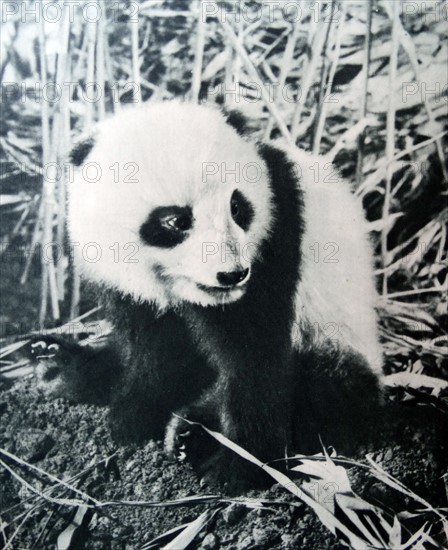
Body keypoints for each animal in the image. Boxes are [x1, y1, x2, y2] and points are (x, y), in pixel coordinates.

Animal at [62, 103, 382, 492]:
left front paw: (240, 466)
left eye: (237, 205)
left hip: (335, 339)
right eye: (176, 220)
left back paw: (195, 432)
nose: (232, 274)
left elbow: (254, 358)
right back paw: (59, 365)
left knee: (327, 389)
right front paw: (132, 416)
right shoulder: (126, 282)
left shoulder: (275, 238)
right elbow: (153, 349)